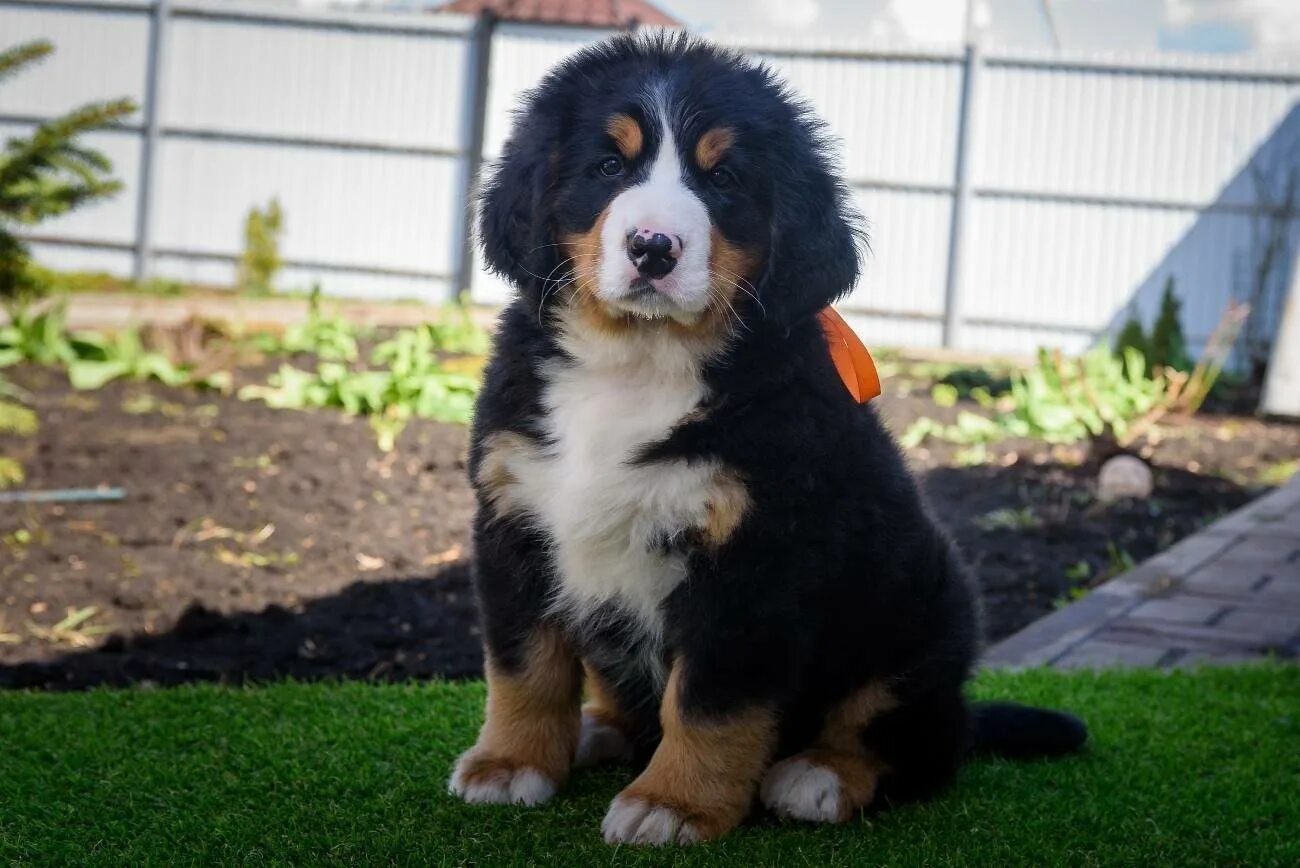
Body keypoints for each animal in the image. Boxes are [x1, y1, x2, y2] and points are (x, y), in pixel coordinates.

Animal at [449, 33, 1086, 847]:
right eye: (609, 167)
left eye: (722, 178)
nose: (653, 247)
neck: (637, 364)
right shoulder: (514, 517)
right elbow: (523, 665)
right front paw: (511, 764)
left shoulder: (754, 559)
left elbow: (709, 700)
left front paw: (674, 803)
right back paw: (594, 730)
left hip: (923, 621)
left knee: (913, 741)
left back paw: (820, 775)